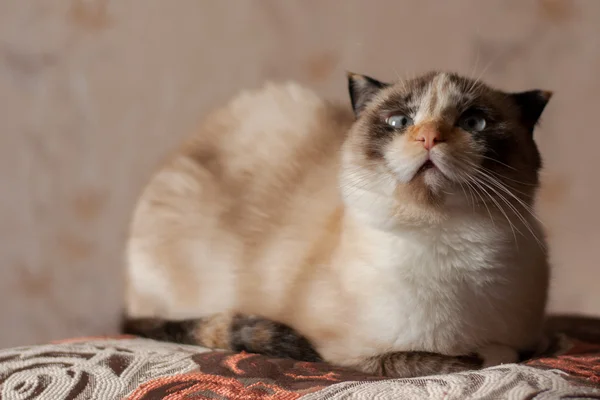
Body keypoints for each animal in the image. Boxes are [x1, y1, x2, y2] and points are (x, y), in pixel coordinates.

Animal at [123, 70, 552, 376]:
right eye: (400, 122)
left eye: (474, 123)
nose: (429, 138)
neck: (445, 240)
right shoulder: (351, 355)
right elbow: (447, 360)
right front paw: (468, 358)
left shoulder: (525, 341)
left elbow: (510, 352)